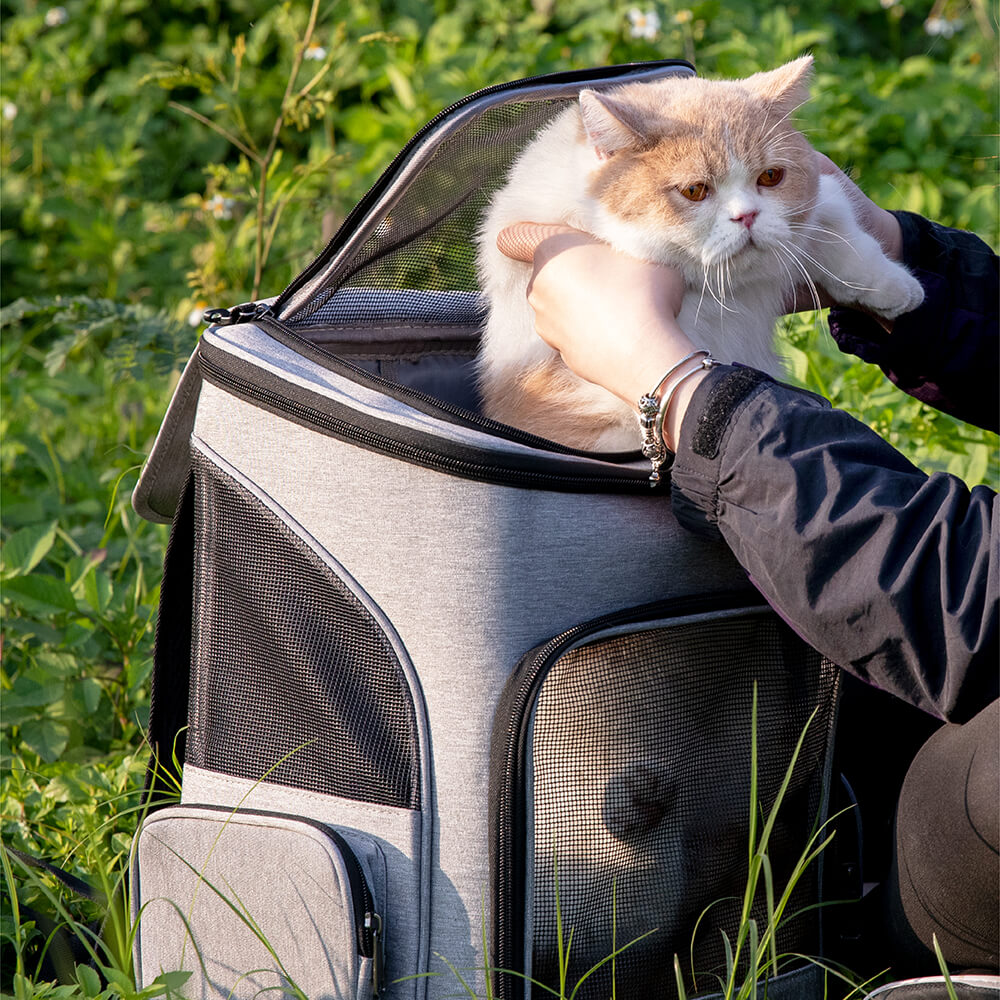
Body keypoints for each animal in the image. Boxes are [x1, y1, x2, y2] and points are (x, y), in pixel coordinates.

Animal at [472, 56, 924, 456]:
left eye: (770, 177)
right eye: (694, 191)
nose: (747, 215)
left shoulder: (824, 198)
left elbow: (840, 232)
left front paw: (894, 287)